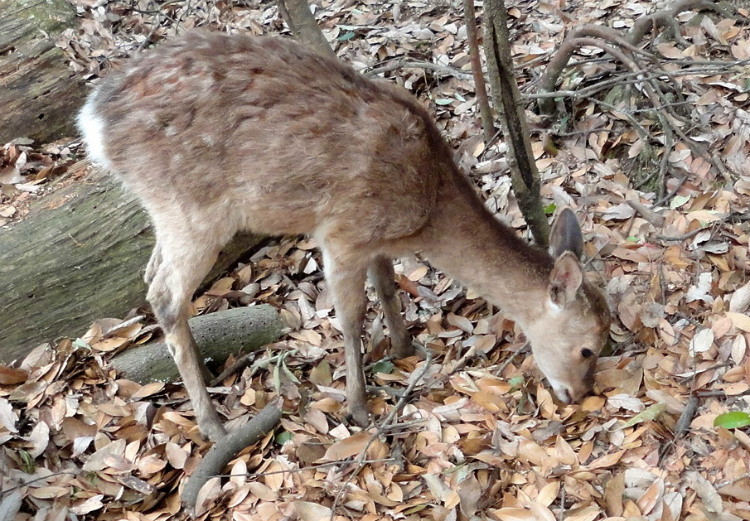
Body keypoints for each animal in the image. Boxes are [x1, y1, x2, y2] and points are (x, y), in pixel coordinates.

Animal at [79, 30, 612, 440]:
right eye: (588, 348)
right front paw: (358, 405)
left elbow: (387, 285)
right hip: (193, 207)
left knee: (151, 273)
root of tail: (94, 124)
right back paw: (213, 425)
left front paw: (405, 348)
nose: (578, 395)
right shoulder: (342, 231)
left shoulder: (372, 239)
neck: (426, 210)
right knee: (165, 294)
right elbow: (351, 317)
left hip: (166, 210)